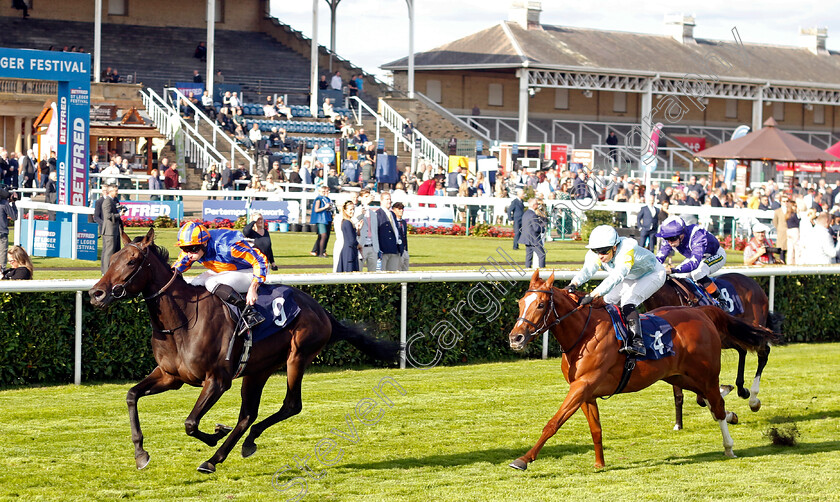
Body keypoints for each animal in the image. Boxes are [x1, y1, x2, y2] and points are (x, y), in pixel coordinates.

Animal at [88, 229, 400, 472]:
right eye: (111, 259)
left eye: (131, 261)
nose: (96, 294)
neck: (183, 321)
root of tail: (321, 310)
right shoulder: (170, 376)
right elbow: (131, 395)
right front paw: (141, 454)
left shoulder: (217, 380)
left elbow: (190, 423)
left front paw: (214, 434)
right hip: (257, 370)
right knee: (248, 415)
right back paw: (228, 451)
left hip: (297, 357)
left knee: (291, 405)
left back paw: (229, 449)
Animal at [648, 272, 784, 430]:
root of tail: (753, 282)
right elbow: (680, 394)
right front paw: (678, 424)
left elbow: (702, 398)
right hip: (730, 335)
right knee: (742, 350)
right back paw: (741, 389)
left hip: (749, 327)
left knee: (762, 353)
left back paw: (753, 400)